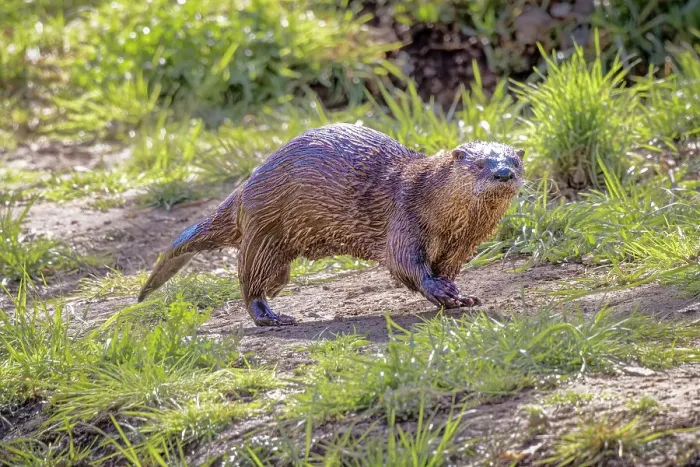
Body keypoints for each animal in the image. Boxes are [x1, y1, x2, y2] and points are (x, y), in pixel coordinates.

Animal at [137, 123, 524, 326]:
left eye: (514, 162)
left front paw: (458, 295)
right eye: (479, 164)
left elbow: (445, 269)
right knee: (249, 283)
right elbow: (405, 265)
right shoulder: (405, 220)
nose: (503, 173)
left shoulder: (460, 246)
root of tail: (246, 187)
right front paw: (440, 292)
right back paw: (272, 317)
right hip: (263, 231)